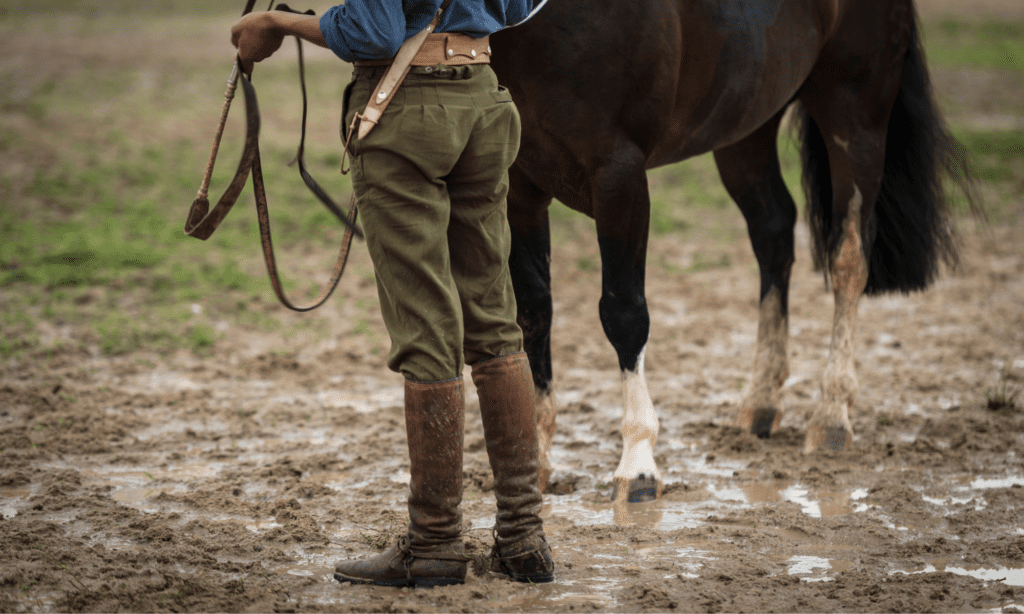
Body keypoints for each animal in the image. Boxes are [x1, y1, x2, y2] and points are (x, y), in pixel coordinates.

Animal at [487, 0, 966, 501]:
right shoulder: (519, 187)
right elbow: (533, 314)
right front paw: (536, 462)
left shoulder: (619, 176)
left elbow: (623, 314)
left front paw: (638, 466)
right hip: (747, 125)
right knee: (773, 232)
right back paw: (761, 403)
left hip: (855, 112)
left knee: (849, 255)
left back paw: (832, 416)